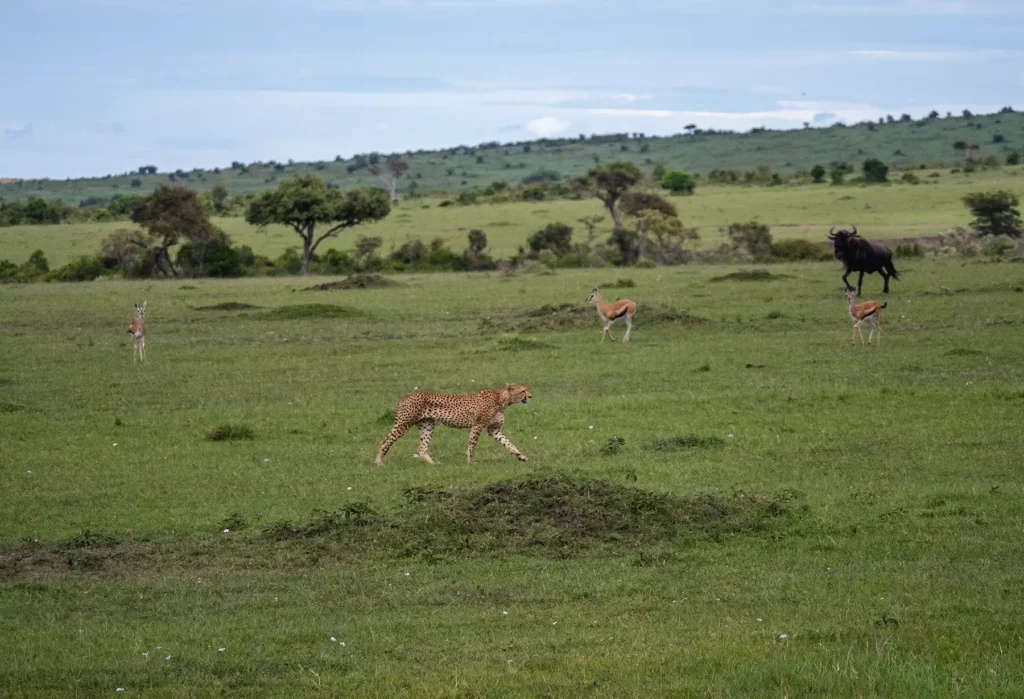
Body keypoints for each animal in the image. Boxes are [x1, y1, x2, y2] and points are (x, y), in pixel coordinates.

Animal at [375, 383, 531, 465]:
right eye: (523, 390)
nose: (530, 396)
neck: (503, 399)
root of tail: (405, 396)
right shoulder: (477, 425)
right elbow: (472, 445)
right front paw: (470, 463)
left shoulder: (494, 429)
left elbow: (509, 443)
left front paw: (521, 456)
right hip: (404, 423)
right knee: (385, 441)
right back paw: (378, 462)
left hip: (427, 425)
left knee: (422, 447)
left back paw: (434, 465)